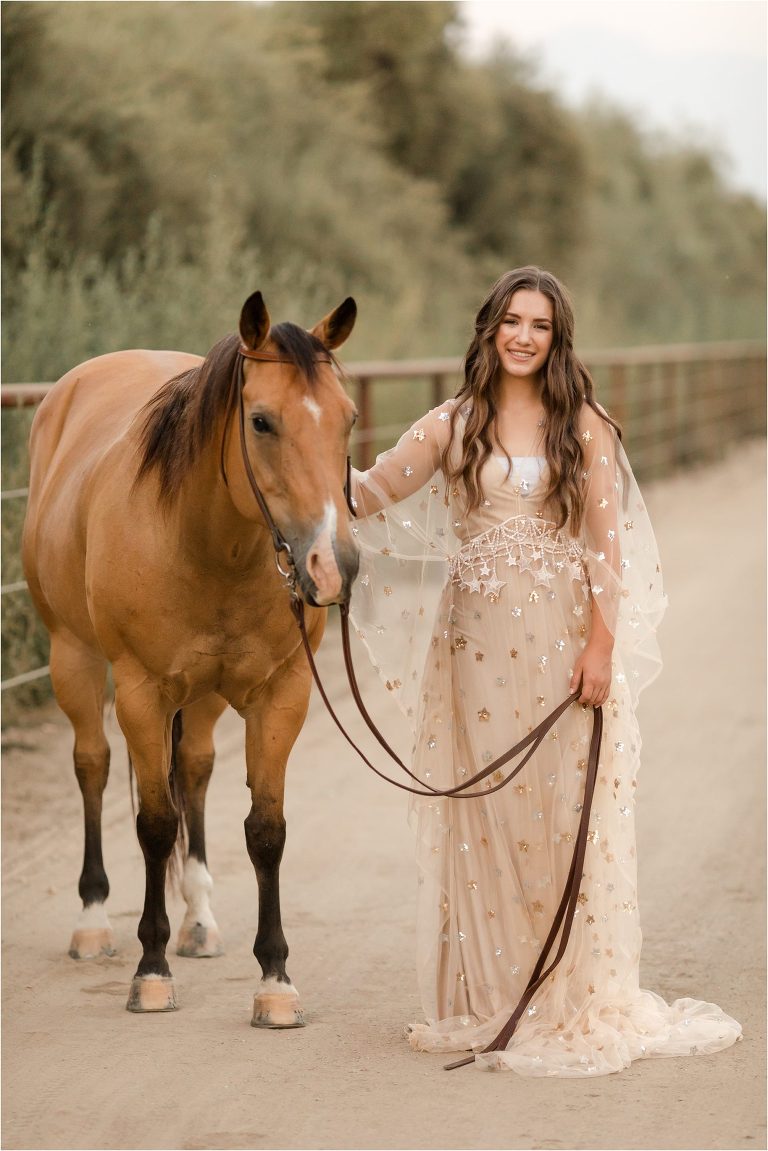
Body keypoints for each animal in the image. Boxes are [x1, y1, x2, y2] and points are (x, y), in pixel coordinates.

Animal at [21, 291, 359, 1026]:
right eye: (261, 421)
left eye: (348, 419)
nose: (335, 566)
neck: (206, 540)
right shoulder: (142, 694)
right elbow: (153, 824)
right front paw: (151, 972)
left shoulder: (283, 694)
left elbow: (265, 830)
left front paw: (276, 980)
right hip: (74, 660)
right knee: (93, 766)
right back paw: (93, 921)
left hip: (201, 695)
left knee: (197, 771)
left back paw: (199, 919)